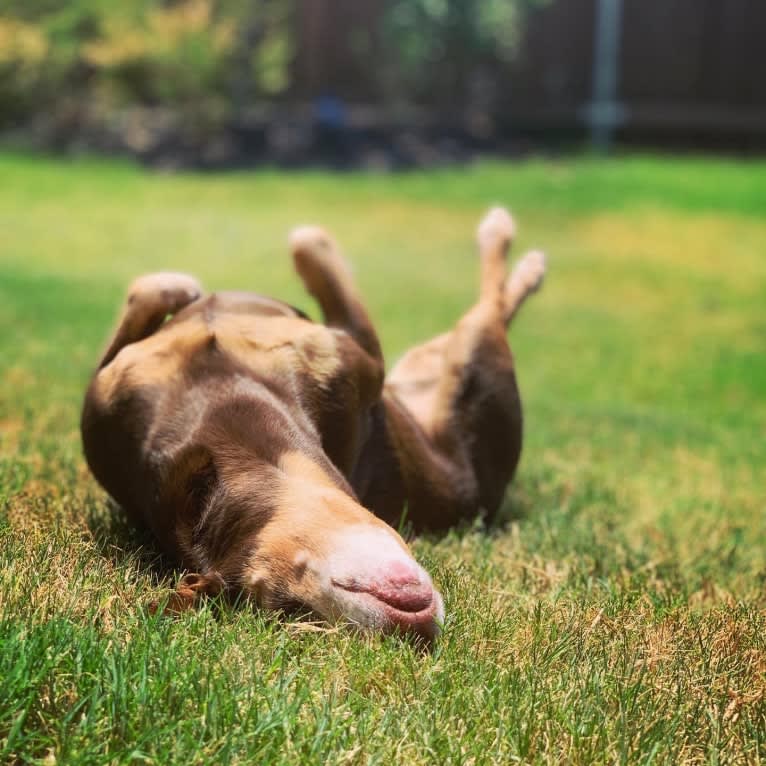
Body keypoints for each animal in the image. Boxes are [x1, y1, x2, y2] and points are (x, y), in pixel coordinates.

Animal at [81, 207, 544, 640]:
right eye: (293, 611)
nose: (405, 632)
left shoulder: (107, 387)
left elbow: (145, 296)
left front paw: (178, 288)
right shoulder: (364, 358)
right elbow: (311, 247)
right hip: (483, 373)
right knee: (490, 311)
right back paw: (517, 253)